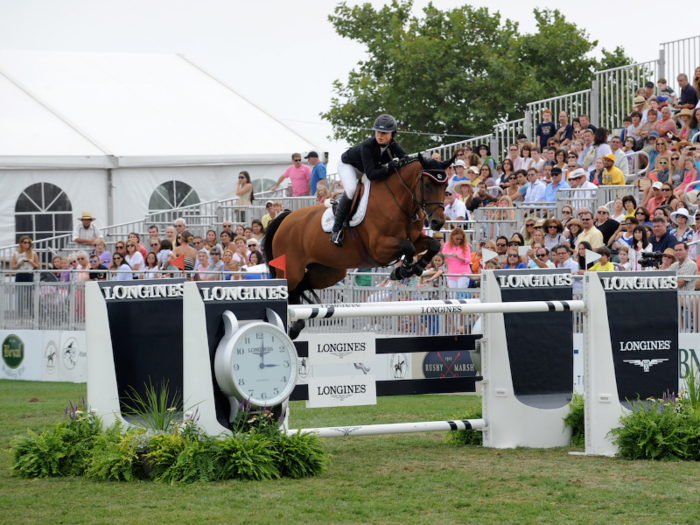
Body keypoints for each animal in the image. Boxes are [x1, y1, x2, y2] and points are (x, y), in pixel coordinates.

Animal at [262, 154, 448, 338]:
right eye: (427, 184)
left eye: (445, 187)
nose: (437, 222)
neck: (399, 202)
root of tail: (284, 218)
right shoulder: (378, 248)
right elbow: (408, 247)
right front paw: (403, 270)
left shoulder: (414, 239)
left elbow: (432, 245)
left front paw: (415, 268)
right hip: (292, 269)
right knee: (290, 287)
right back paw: (293, 325)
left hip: (329, 272)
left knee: (301, 285)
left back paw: (296, 325)